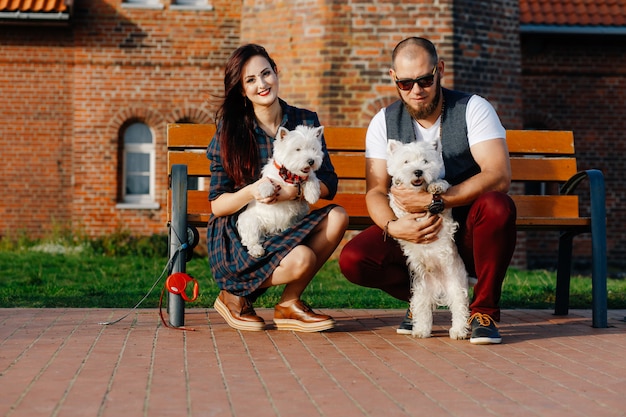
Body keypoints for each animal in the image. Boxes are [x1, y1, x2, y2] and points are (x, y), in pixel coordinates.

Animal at [234, 123, 322, 256]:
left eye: (313, 149)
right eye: (298, 149)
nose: (311, 161)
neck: (290, 175)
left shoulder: (306, 176)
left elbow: (312, 177)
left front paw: (312, 195)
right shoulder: (271, 178)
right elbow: (266, 181)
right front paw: (266, 190)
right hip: (251, 221)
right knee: (251, 239)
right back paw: (257, 250)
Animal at [386, 138, 468, 340]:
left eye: (425, 161)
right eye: (406, 162)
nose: (418, 172)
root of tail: (439, 287)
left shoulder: (445, 212)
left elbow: (442, 184)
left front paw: (436, 186)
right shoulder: (398, 209)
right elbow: (396, 204)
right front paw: (398, 180)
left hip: (456, 285)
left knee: (459, 308)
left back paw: (458, 332)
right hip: (421, 292)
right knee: (423, 311)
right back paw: (420, 331)